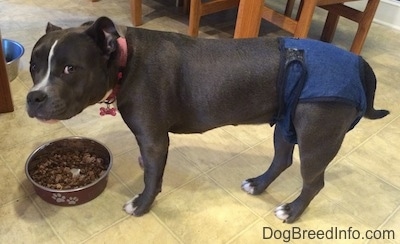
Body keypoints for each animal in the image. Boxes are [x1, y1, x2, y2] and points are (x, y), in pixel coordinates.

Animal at [25, 16, 388, 223]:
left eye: (70, 69)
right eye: (33, 66)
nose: (34, 97)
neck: (125, 59)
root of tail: (360, 63)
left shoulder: (154, 139)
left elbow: (152, 178)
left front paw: (142, 205)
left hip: (316, 138)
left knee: (314, 182)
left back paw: (292, 212)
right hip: (286, 125)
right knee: (282, 160)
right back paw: (258, 185)